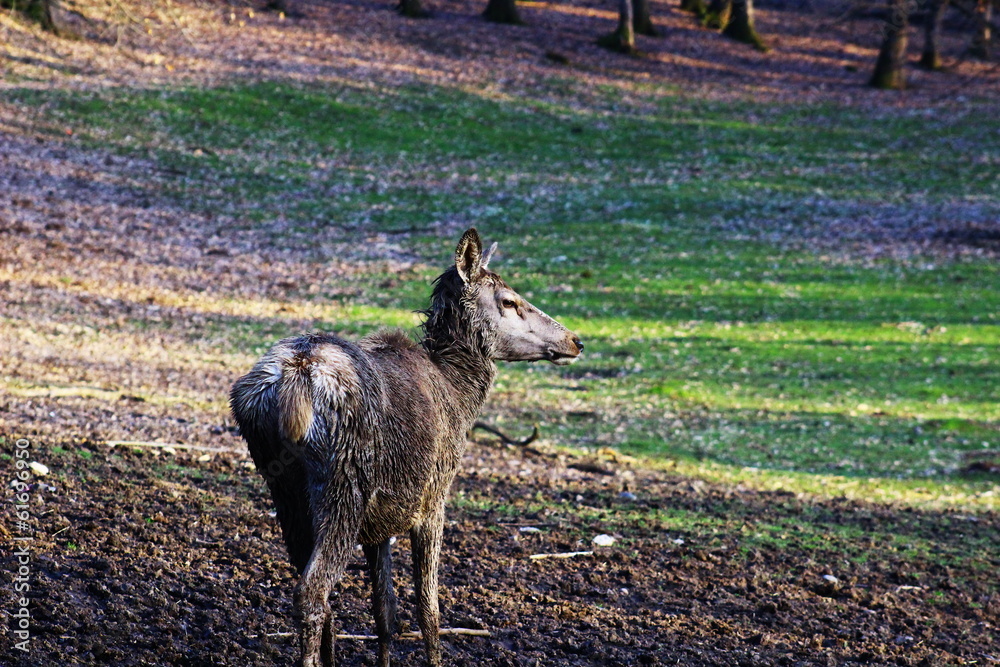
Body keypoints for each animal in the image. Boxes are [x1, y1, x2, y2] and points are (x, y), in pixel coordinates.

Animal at [230, 228, 583, 667]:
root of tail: (296, 375)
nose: (575, 340)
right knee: (312, 591)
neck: (460, 395)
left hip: (284, 488)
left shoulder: (380, 523)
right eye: (509, 300)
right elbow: (428, 609)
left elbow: (386, 611)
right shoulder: (433, 498)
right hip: (344, 483)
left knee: (314, 588)